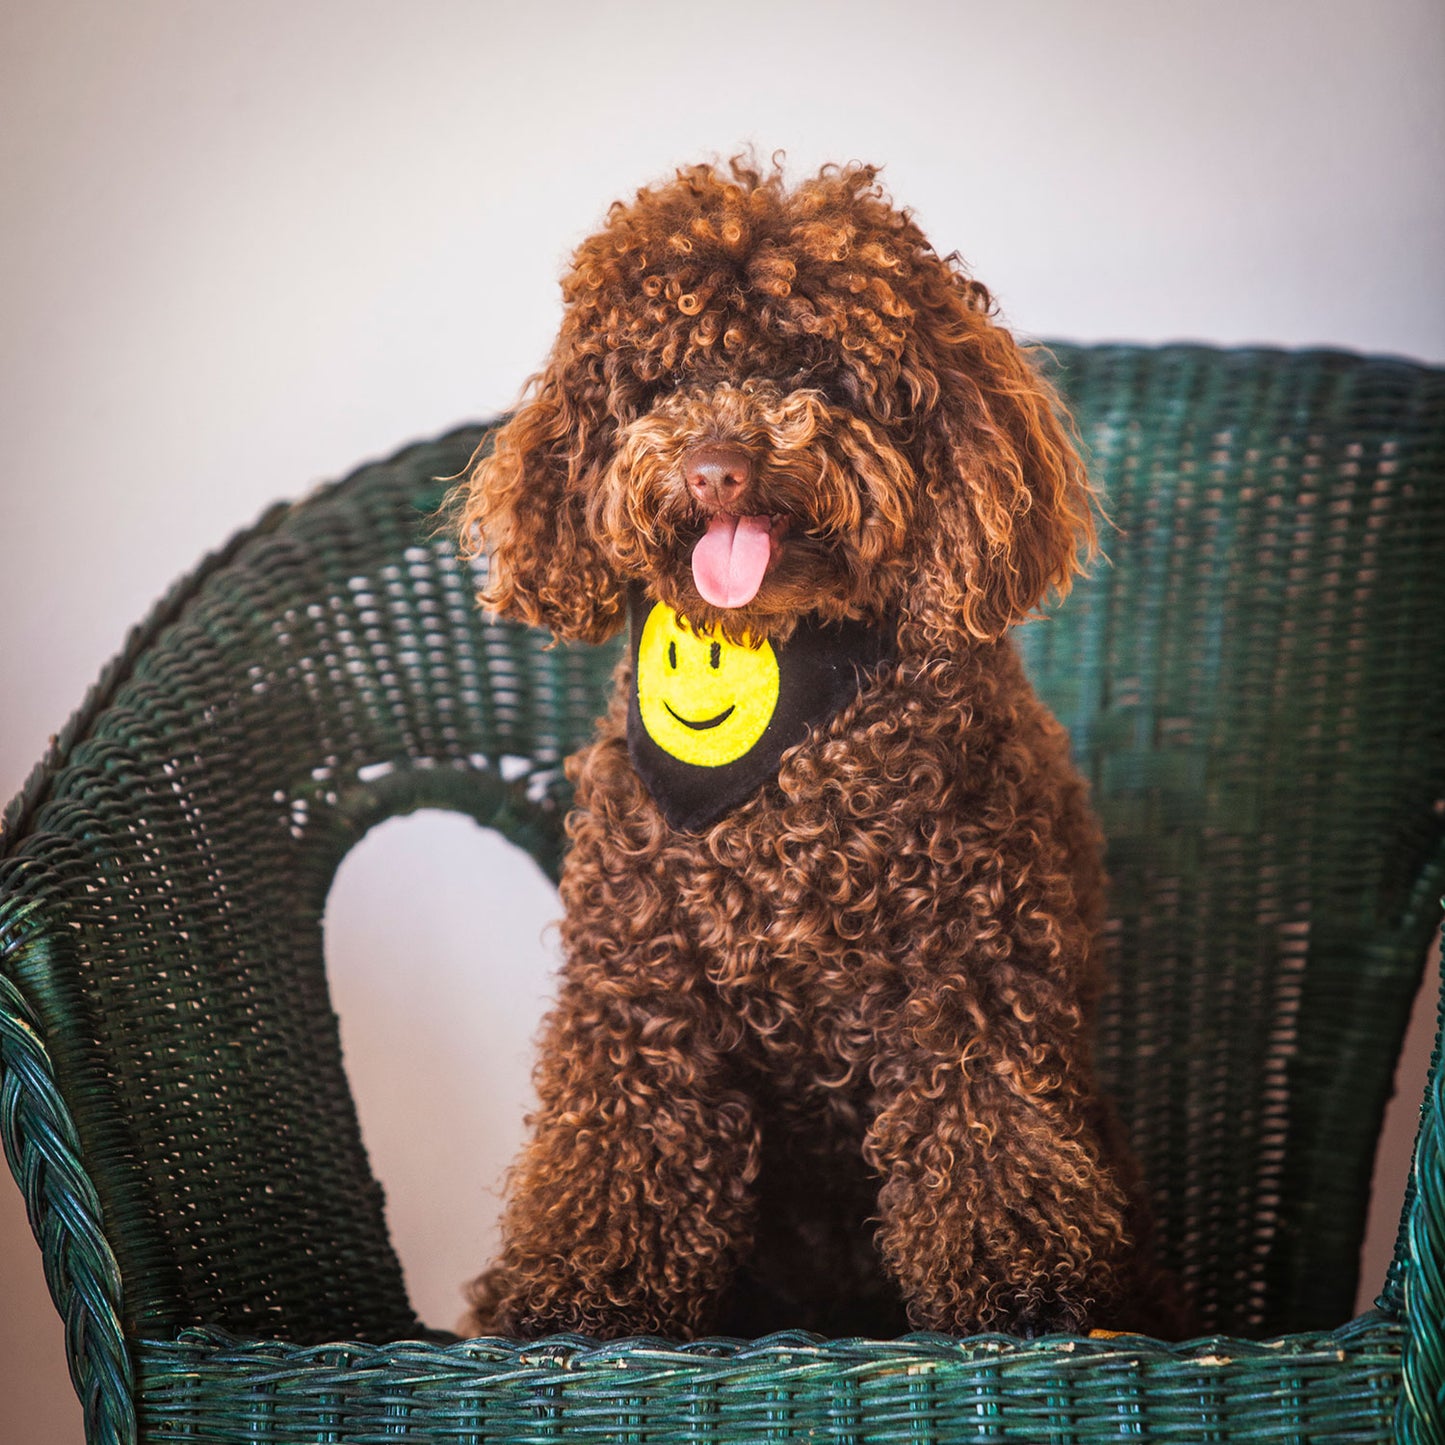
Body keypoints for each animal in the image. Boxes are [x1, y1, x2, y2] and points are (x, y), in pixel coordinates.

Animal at [456, 158, 1179, 1340]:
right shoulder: (637, 988)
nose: (715, 468)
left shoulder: (970, 974)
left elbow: (984, 1137)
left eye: (815, 370)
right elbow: (617, 1150)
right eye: (661, 382)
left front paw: (1020, 1283)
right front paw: (578, 1293)